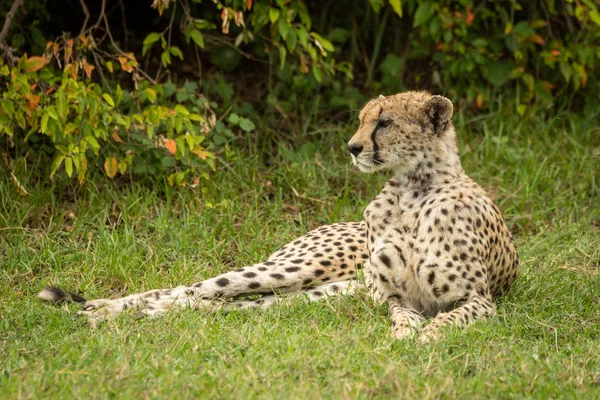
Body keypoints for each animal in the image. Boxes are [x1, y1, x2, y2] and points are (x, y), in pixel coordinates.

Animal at [41, 90, 520, 340]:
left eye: (384, 122)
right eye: (363, 119)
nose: (352, 147)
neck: (412, 190)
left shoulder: (480, 299)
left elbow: (451, 316)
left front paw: (430, 334)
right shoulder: (393, 297)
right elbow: (405, 315)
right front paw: (409, 333)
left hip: (309, 295)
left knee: (217, 304)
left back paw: (121, 316)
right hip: (294, 270)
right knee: (191, 289)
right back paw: (101, 311)